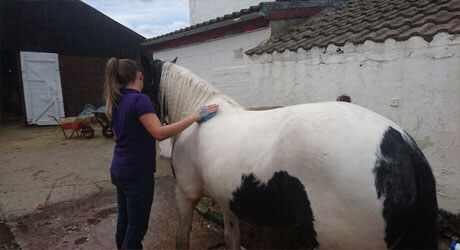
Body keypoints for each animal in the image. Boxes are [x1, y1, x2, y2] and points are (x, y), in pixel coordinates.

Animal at [140, 57, 438, 250]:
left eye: (143, 83)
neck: (198, 117)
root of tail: (402, 144)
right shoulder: (228, 199)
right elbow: (231, 238)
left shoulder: (185, 194)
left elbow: (182, 238)